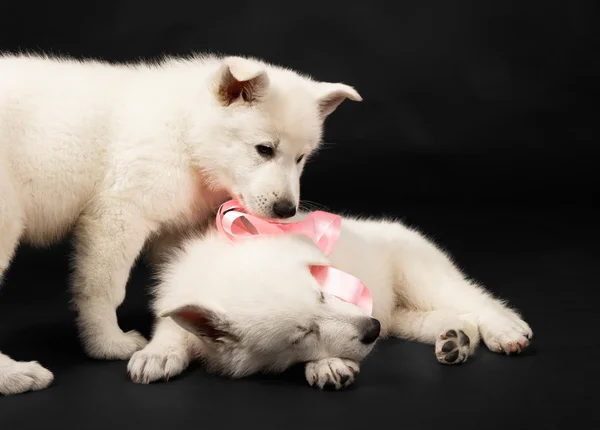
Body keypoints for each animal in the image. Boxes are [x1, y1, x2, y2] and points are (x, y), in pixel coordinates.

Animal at [0, 52, 360, 394]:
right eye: (264, 149)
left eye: (301, 158)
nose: (286, 210)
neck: (187, 134)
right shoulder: (117, 214)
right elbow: (103, 288)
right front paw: (107, 344)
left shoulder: (175, 234)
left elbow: (177, 292)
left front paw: (166, 349)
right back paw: (16, 375)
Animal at [129, 212, 532, 390]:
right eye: (302, 335)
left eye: (323, 292)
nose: (372, 329)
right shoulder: (174, 293)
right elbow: (170, 326)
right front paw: (158, 352)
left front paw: (328, 365)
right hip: (402, 316)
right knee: (453, 316)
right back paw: (455, 339)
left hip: (421, 275)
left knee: (475, 299)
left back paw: (504, 329)